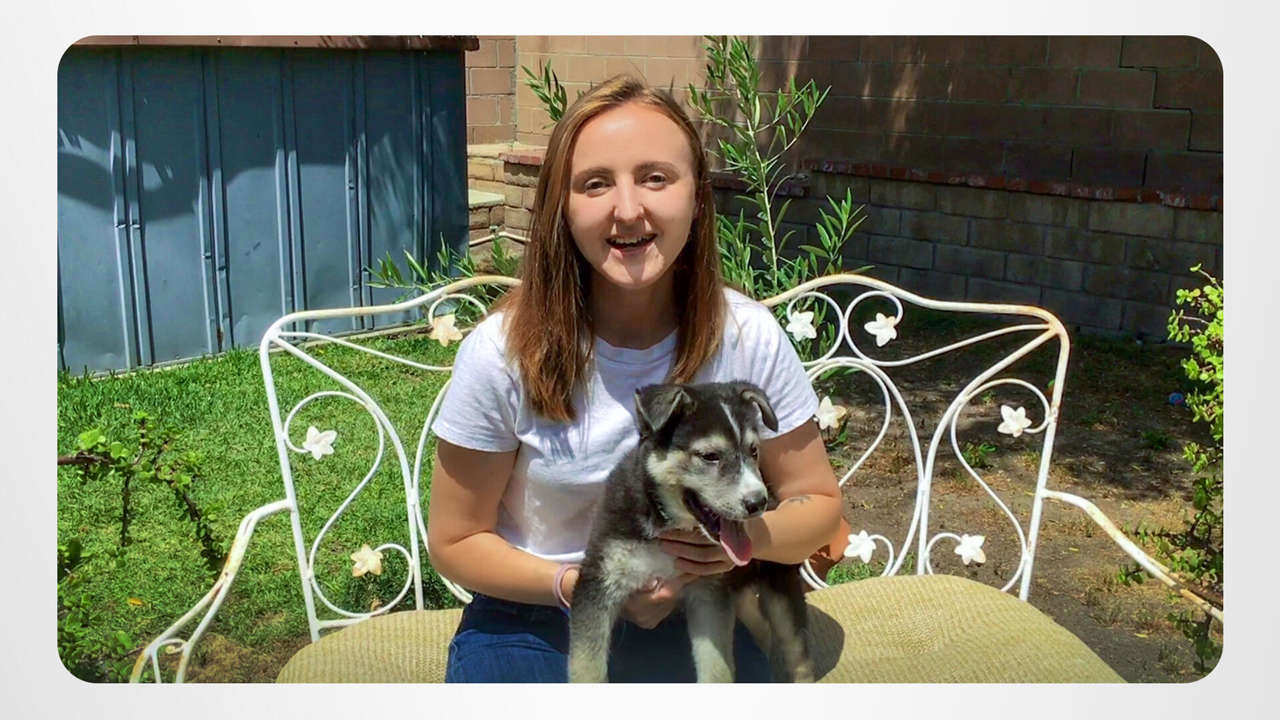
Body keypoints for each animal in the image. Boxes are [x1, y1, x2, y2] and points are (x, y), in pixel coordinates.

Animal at [568, 382, 815, 683]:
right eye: (710, 456)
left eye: (754, 451)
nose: (758, 503)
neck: (666, 523)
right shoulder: (598, 583)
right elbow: (586, 666)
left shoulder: (709, 592)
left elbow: (717, 667)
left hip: (779, 586)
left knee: (798, 655)